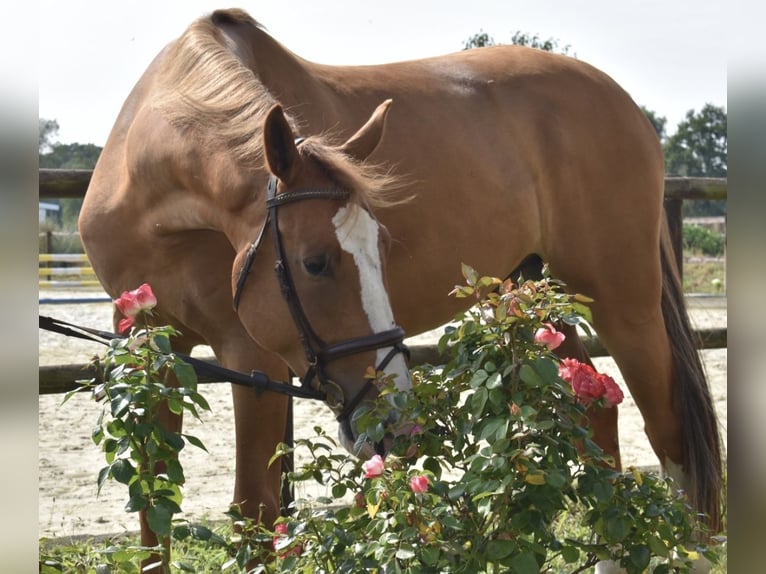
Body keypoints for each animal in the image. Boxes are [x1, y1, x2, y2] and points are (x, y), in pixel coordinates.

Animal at [81, 5, 724, 564]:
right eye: (316, 263)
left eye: (382, 249)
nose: (394, 420)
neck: (154, 194)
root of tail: (625, 104)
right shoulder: (151, 352)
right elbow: (154, 510)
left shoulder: (251, 357)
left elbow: (254, 511)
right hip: (534, 298)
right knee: (597, 419)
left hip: (623, 302)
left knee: (672, 432)